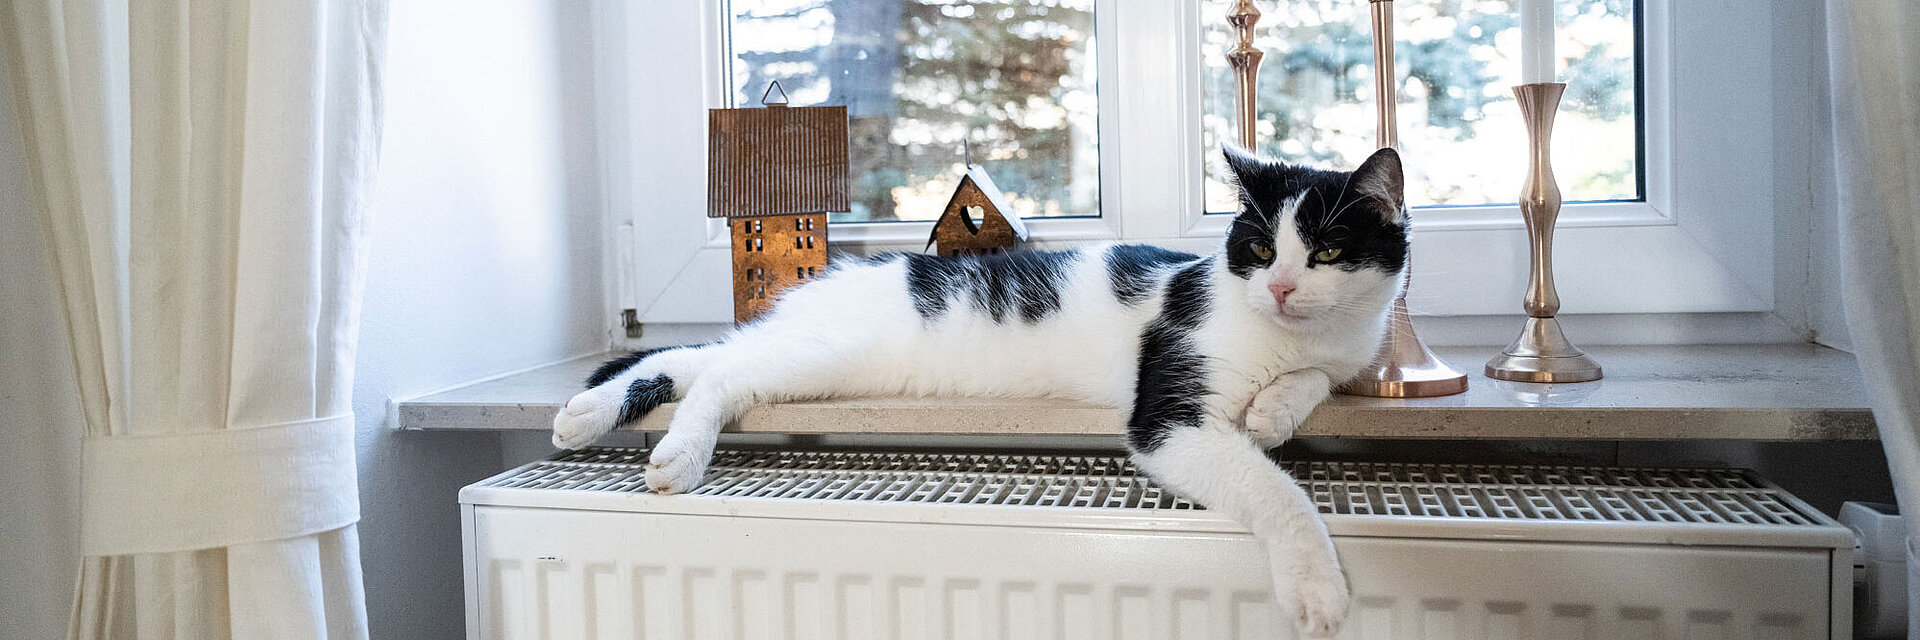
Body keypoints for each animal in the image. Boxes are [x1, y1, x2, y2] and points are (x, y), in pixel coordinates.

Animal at [549, 144, 1405, 634]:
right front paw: (1317, 587)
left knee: (702, 357)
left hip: (820, 359)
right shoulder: (1168, 416)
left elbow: (1319, 380)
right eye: (1258, 248)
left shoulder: (1347, 353)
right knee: (722, 368)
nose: (1283, 287)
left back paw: (587, 414)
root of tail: (825, 284)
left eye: (1328, 251)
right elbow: (1274, 492)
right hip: (828, 353)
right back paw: (670, 452)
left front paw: (1273, 409)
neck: (1282, 332)